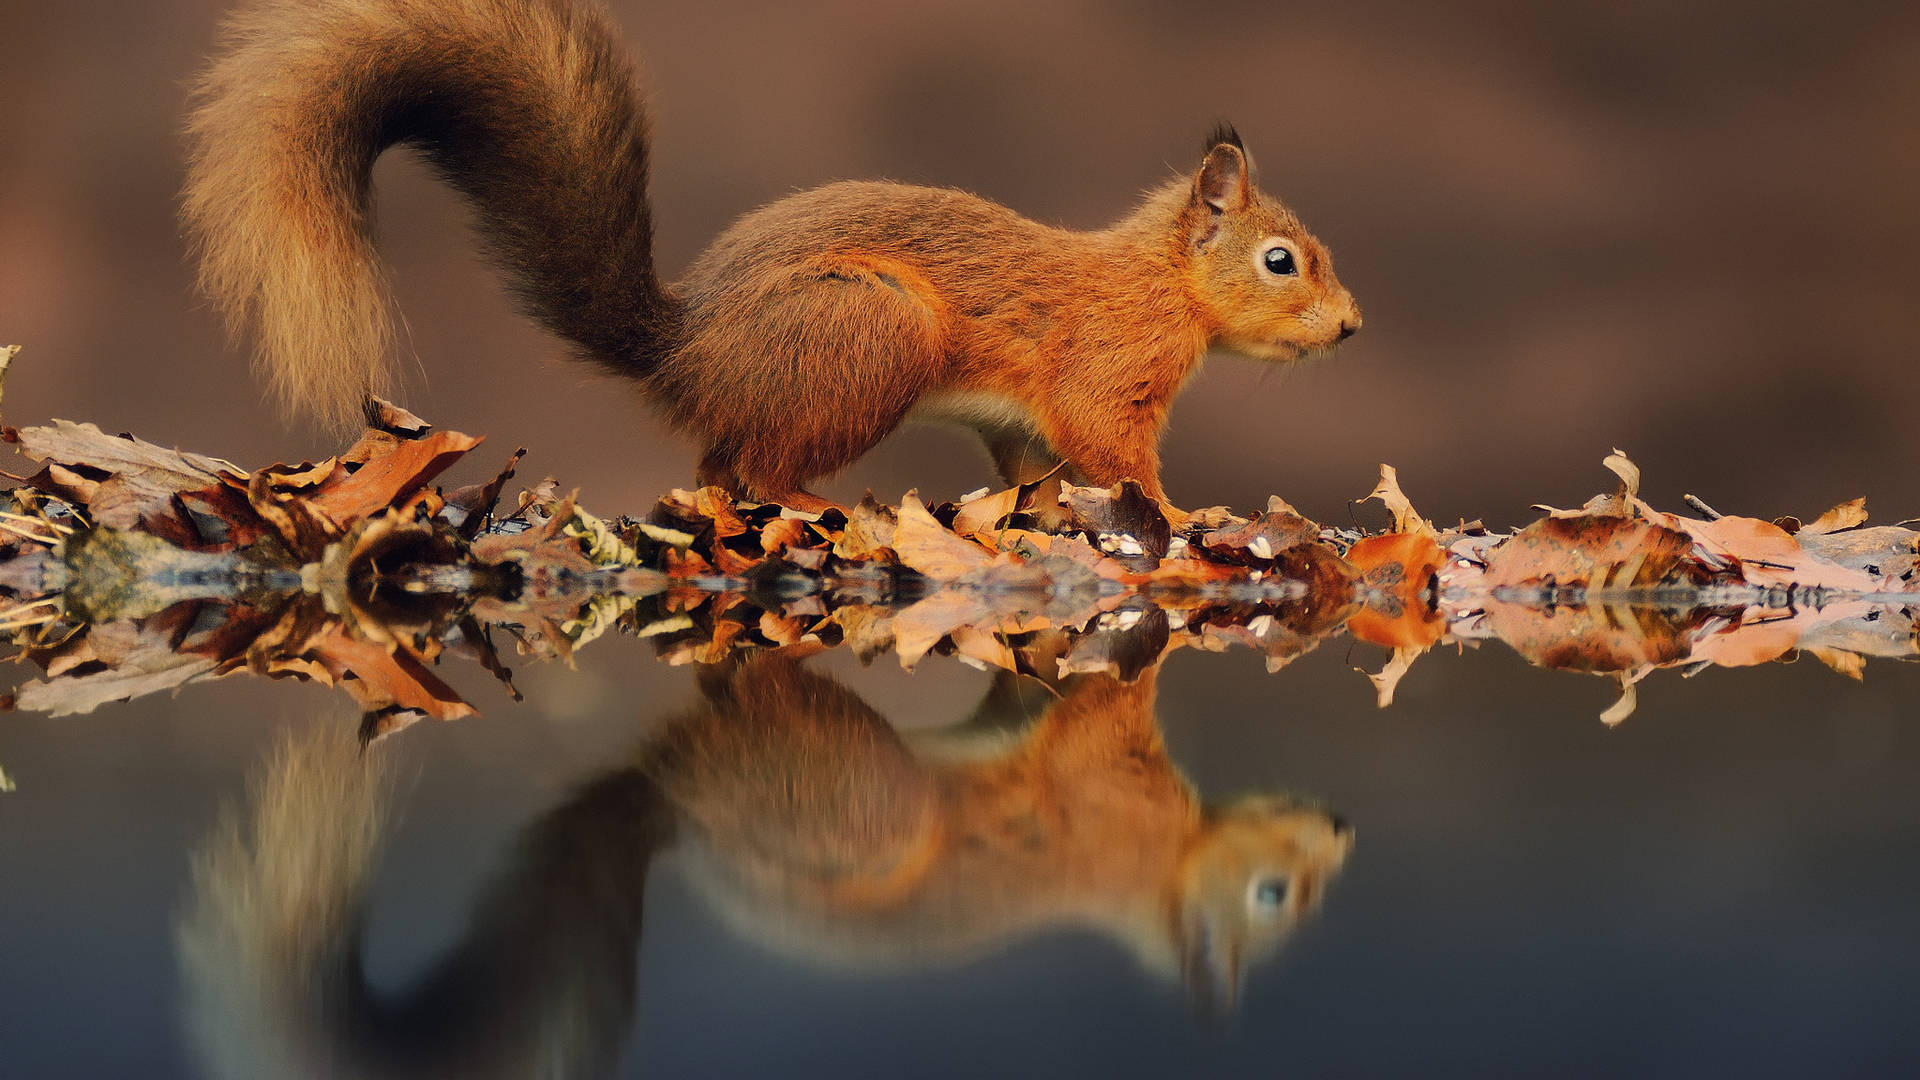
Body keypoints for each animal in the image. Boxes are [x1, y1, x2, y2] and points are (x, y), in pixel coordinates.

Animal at [176, 0, 1351, 511]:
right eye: (1282, 261)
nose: (1350, 328)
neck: (1161, 283)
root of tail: (687, 351)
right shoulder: (1107, 369)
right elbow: (1114, 449)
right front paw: (1183, 517)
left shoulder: (1026, 424)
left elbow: (1039, 468)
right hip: (868, 335)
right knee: (761, 471)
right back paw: (817, 511)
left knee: (719, 468)